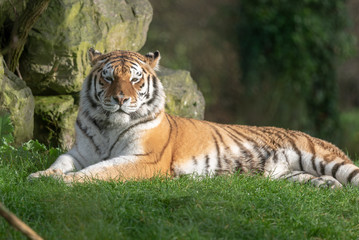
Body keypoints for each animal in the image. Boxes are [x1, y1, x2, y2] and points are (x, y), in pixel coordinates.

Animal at [28, 48, 359, 188]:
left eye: (135, 80)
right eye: (108, 78)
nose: (121, 99)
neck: (108, 124)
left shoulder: (144, 160)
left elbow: (101, 171)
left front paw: (67, 182)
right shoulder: (79, 152)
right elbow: (60, 162)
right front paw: (41, 176)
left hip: (325, 158)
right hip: (286, 174)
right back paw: (326, 186)